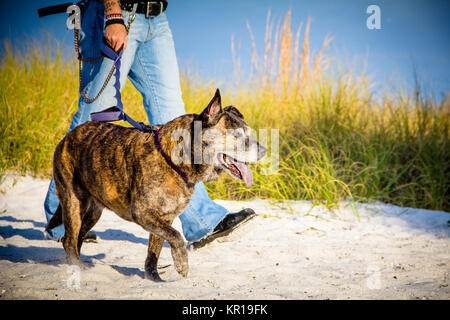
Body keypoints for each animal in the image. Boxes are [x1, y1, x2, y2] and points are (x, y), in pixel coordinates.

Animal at [46, 89, 268, 282]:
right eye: (237, 135)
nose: (264, 150)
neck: (176, 160)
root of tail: (67, 136)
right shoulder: (143, 213)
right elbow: (176, 236)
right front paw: (181, 264)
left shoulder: (165, 218)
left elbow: (155, 249)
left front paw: (154, 277)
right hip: (73, 203)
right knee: (69, 239)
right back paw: (77, 267)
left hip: (94, 211)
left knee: (77, 237)